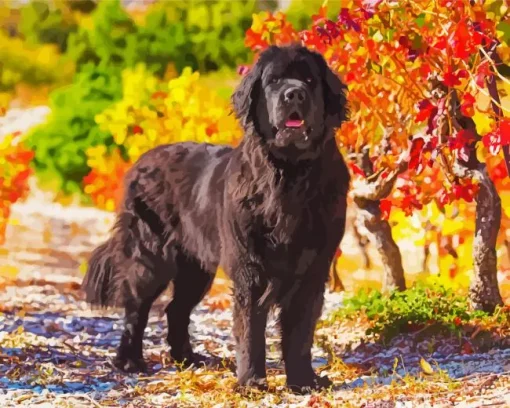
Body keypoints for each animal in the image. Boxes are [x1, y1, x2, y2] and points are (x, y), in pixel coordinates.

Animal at [82, 43, 350, 392]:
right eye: (275, 81)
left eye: (309, 80)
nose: (294, 94)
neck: (288, 176)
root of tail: (141, 161)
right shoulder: (250, 267)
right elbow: (250, 328)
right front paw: (251, 382)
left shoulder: (312, 268)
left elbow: (301, 330)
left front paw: (303, 381)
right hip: (150, 253)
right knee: (136, 307)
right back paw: (130, 361)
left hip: (195, 266)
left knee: (176, 309)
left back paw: (187, 359)